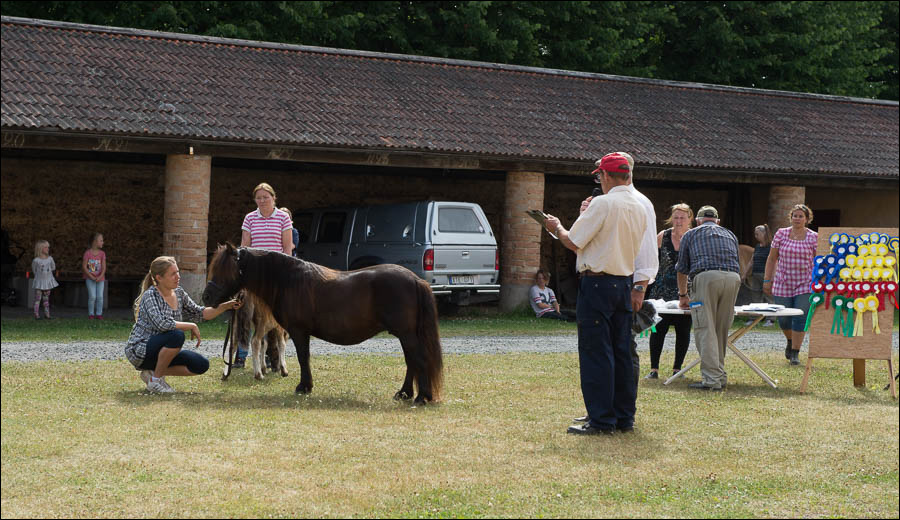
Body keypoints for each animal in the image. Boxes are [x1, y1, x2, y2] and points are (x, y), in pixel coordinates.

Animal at [203, 242, 442, 404]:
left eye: (224, 269)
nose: (206, 297)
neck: (288, 280)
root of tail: (416, 280)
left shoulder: (299, 331)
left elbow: (303, 357)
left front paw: (304, 386)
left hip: (407, 334)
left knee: (418, 360)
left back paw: (421, 397)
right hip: (405, 334)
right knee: (411, 361)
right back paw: (405, 394)